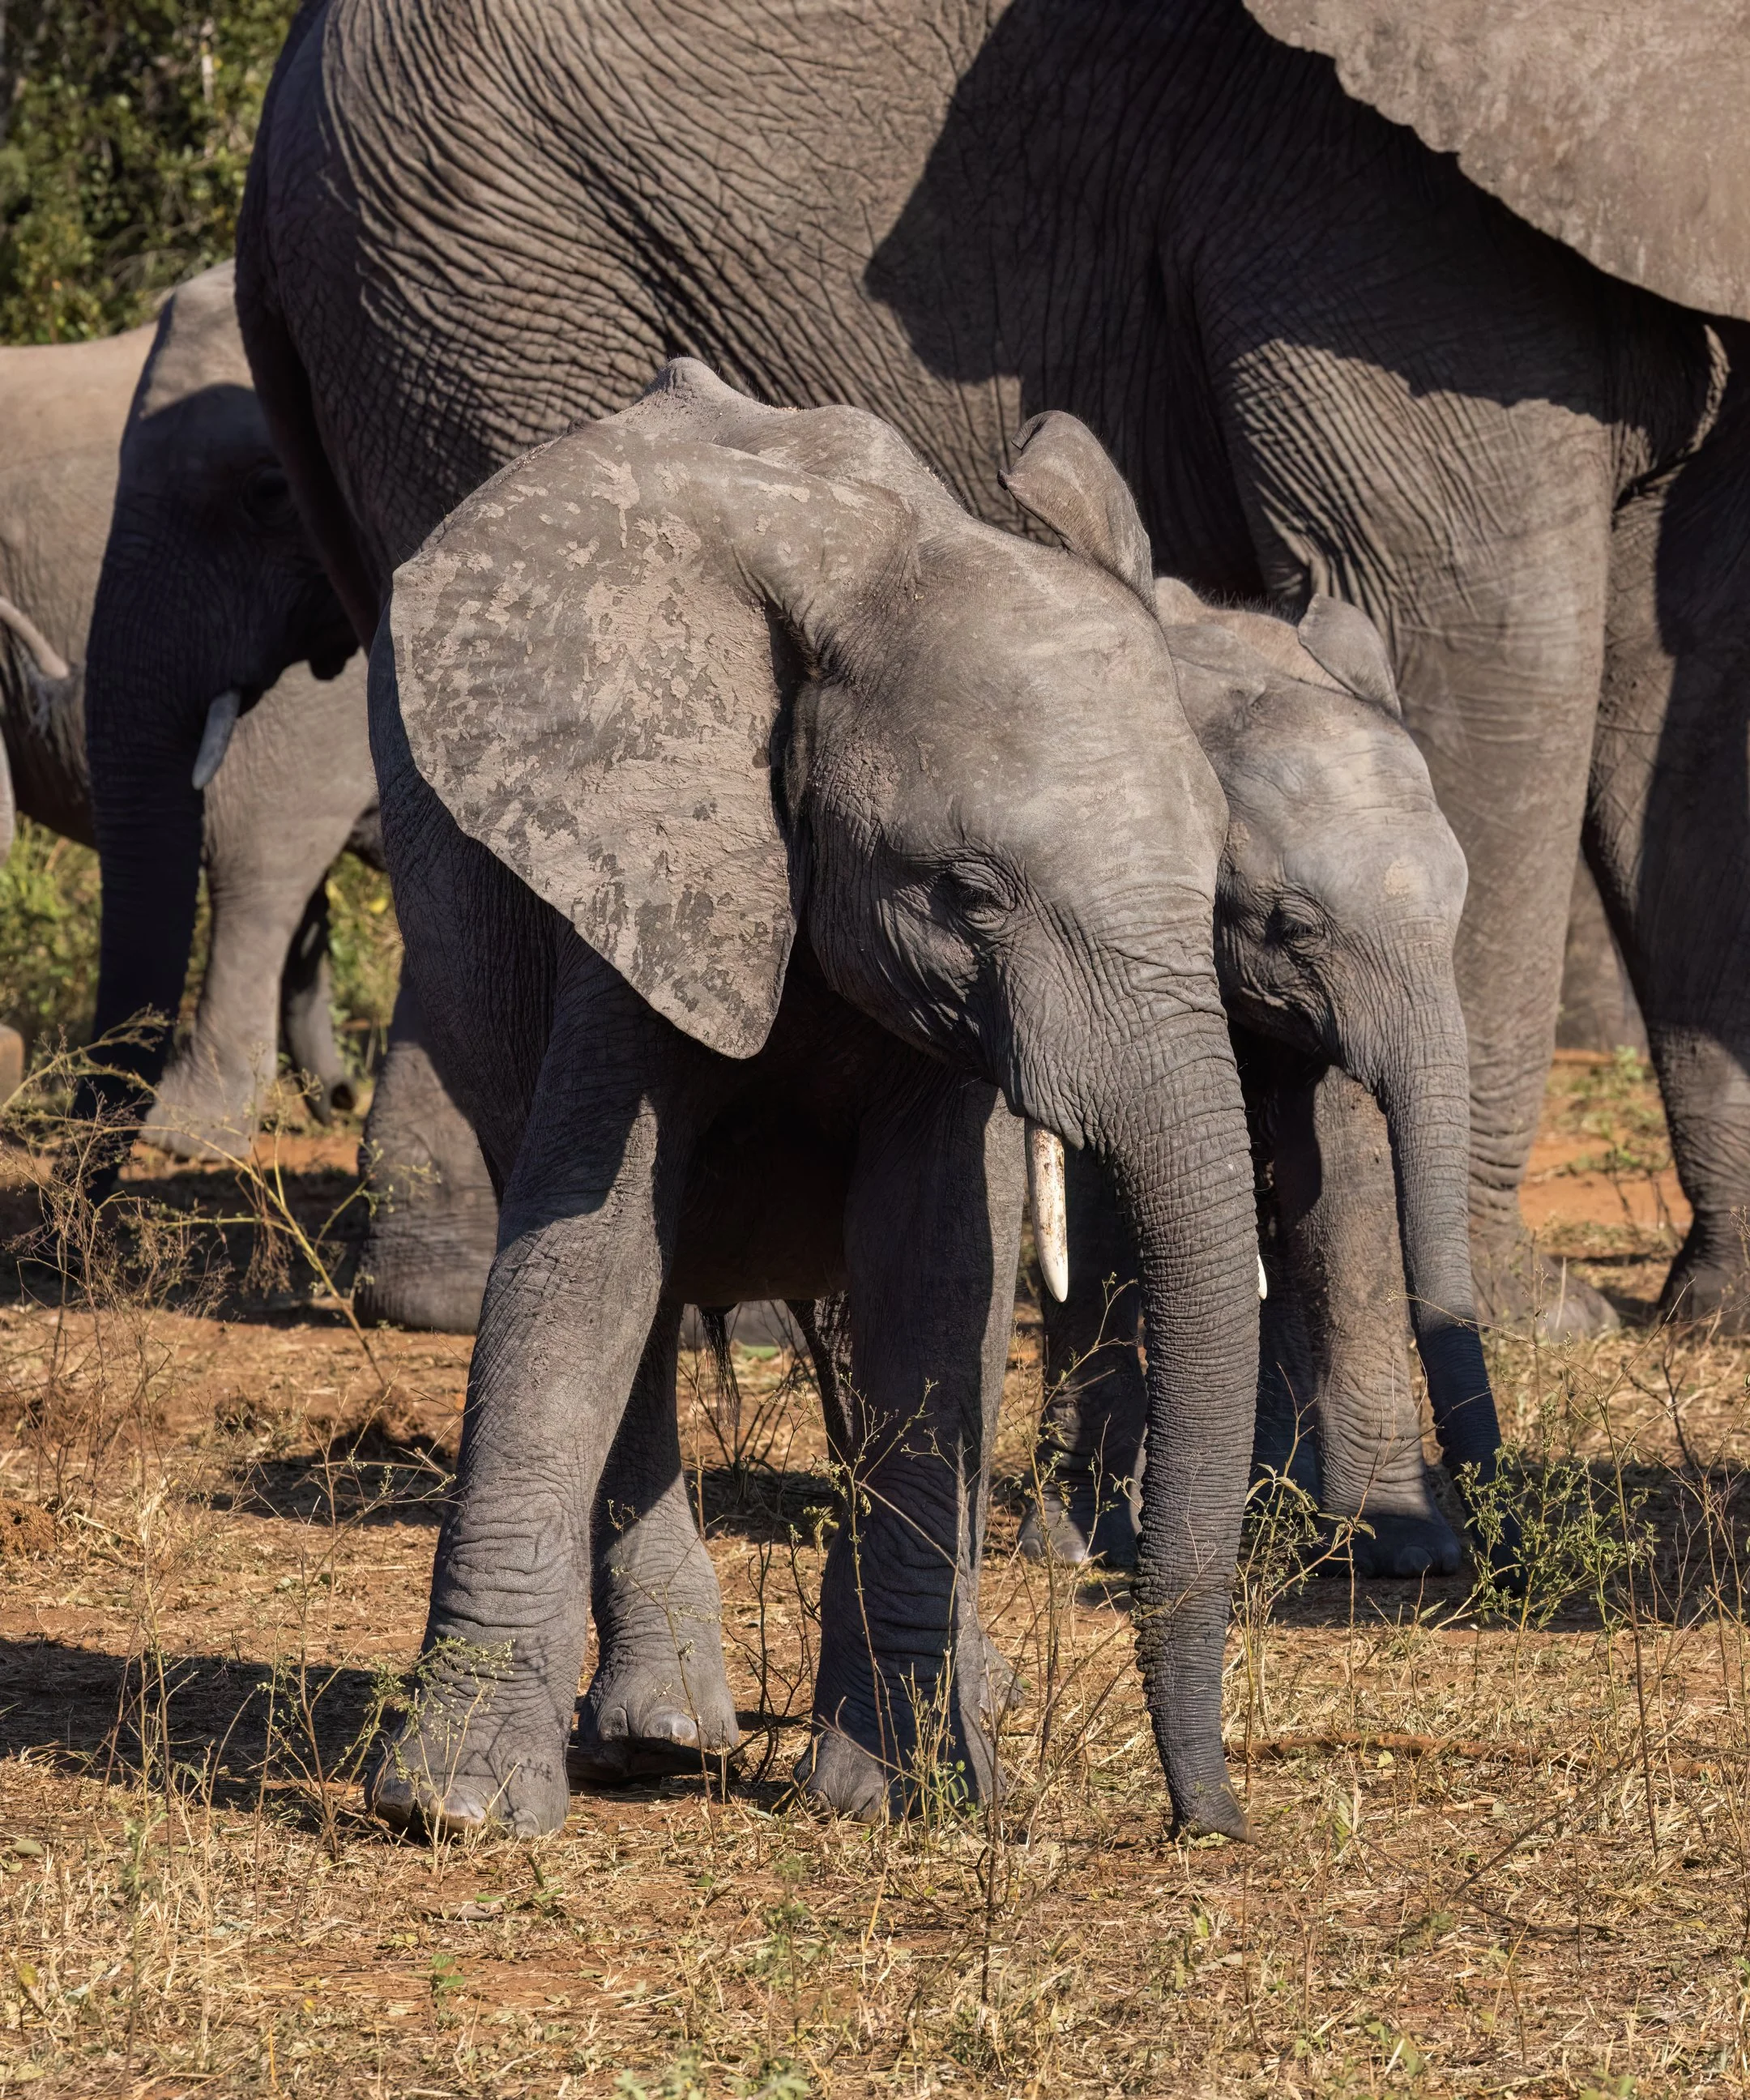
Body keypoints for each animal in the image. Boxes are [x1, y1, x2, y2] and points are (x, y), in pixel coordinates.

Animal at [233, 0, 1750, 1350]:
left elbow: (1691, 685)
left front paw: (1716, 1315)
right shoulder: (1358, 197)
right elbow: (1481, 628)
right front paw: (1535, 1320)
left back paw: (466, 1289)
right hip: (486, 276)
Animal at [359, 356, 1261, 1839]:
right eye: (968, 894)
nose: (1209, 1827)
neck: (871, 573)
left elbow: (935, 1273)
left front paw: (899, 1794)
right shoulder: (644, 863)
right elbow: (585, 1263)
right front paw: (455, 1812)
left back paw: (954, 1710)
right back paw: (660, 1737)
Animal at [999, 412, 1498, 1579]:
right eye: (1291, 925)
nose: (1500, 1536)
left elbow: (1345, 1177)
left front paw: (1404, 1547)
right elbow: (1098, 1195)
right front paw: (1073, 1544)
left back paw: (1269, 1505)